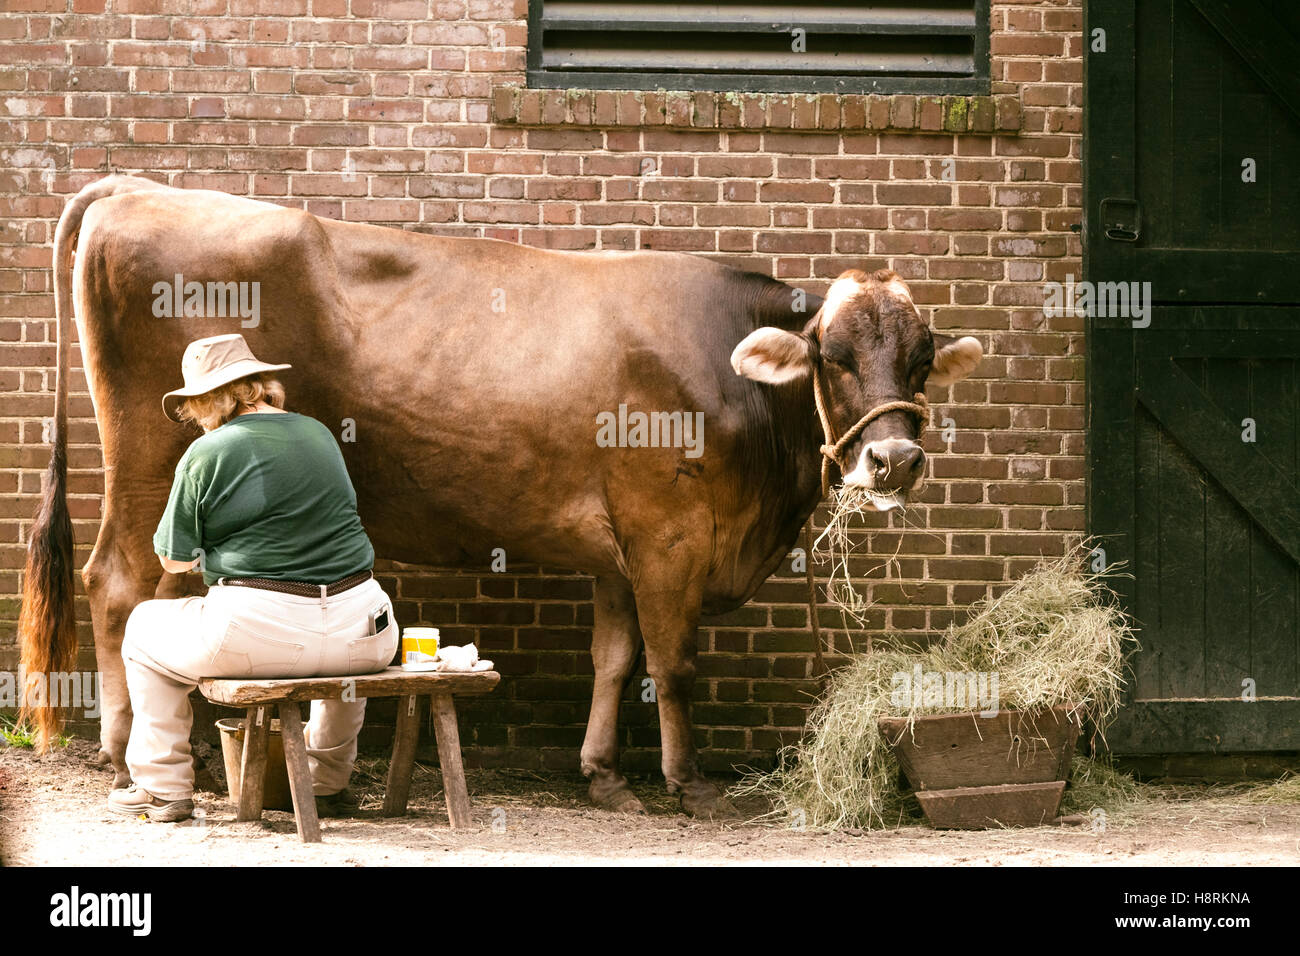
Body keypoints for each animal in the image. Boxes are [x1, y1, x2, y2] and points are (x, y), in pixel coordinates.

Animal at [20, 175, 977, 816]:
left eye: (923, 357)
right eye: (834, 357)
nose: (894, 459)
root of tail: (138, 186)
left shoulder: (619, 549)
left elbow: (614, 659)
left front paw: (604, 776)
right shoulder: (669, 535)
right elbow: (673, 666)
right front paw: (687, 784)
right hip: (151, 461)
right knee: (116, 584)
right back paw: (120, 751)